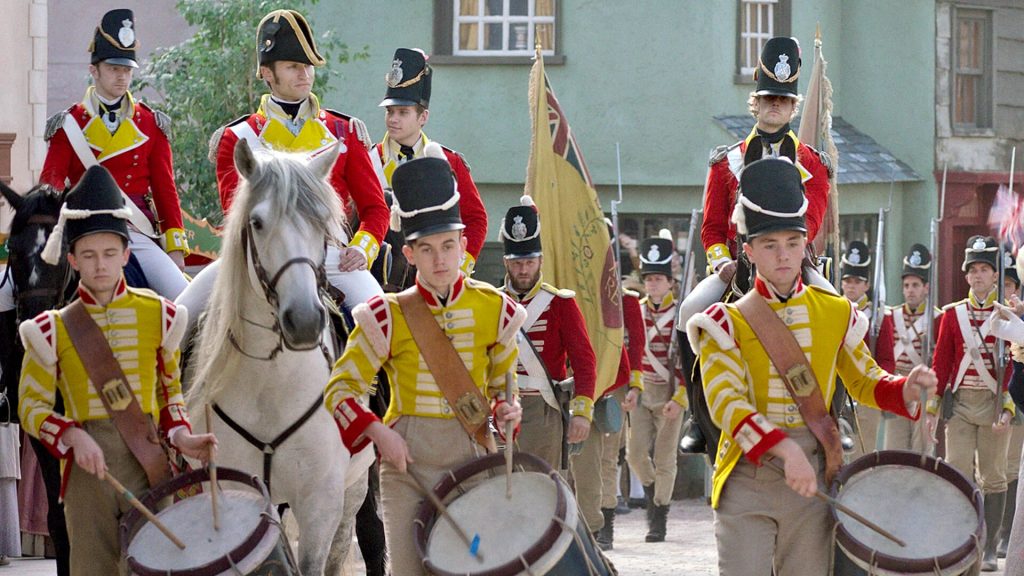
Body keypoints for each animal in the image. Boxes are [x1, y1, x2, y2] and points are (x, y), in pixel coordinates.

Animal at [186, 140, 374, 573]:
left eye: (323, 224)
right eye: (256, 222)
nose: (303, 320)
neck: (270, 383)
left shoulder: (321, 500)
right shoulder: (227, 488)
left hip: (353, 490)